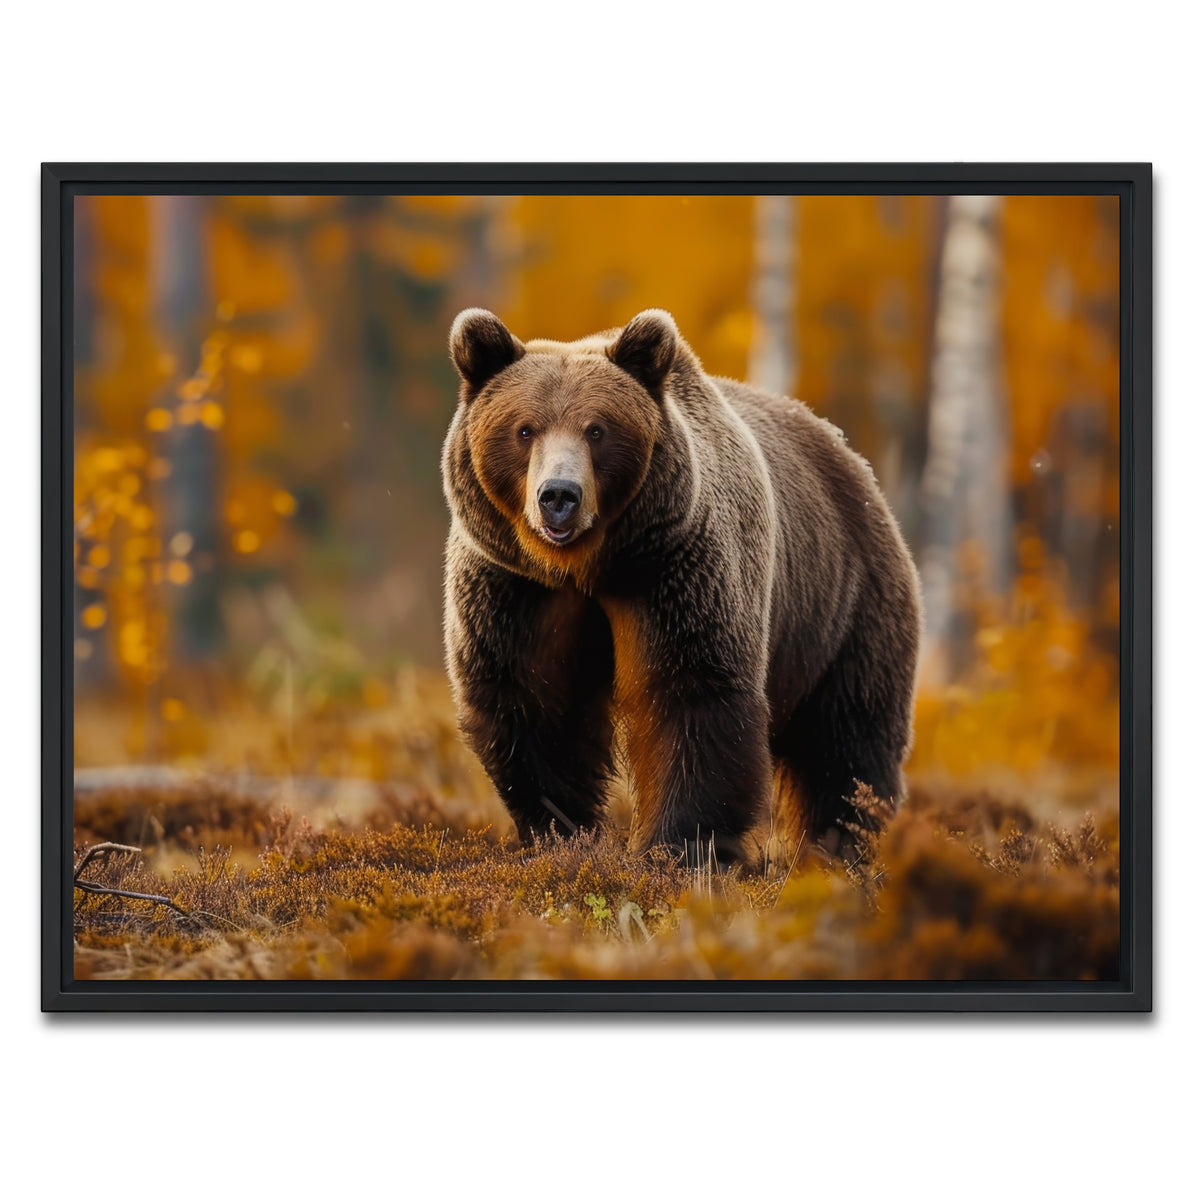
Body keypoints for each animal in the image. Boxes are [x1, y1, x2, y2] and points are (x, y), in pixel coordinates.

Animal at [441, 307, 921, 865]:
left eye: (597, 429)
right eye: (524, 429)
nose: (558, 495)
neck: (588, 566)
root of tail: (849, 457)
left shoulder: (676, 571)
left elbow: (691, 694)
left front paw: (677, 847)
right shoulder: (517, 590)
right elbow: (534, 704)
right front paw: (563, 833)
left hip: (847, 604)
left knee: (848, 738)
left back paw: (843, 844)